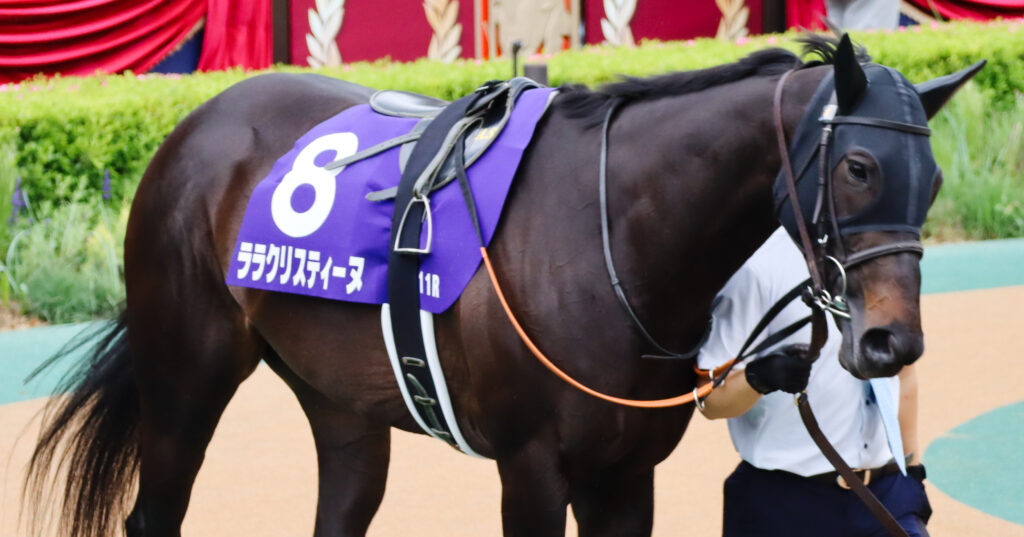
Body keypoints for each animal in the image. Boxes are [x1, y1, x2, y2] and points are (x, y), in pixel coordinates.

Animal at [25, 36, 980, 537]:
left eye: (932, 180)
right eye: (858, 167)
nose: (892, 341)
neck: (610, 240)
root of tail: (198, 124)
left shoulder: (624, 472)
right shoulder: (531, 466)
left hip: (339, 400)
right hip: (185, 375)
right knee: (155, 511)